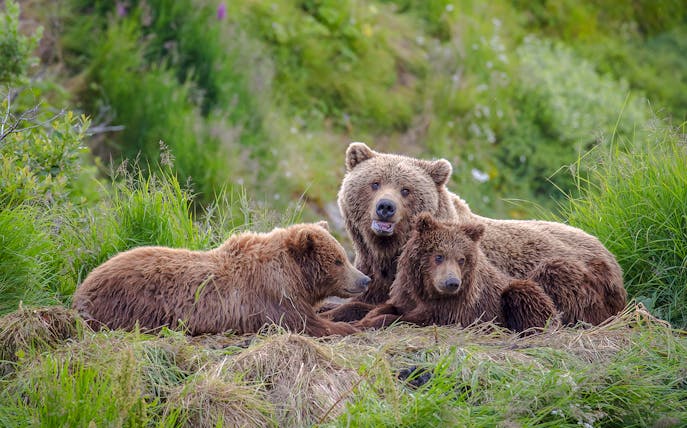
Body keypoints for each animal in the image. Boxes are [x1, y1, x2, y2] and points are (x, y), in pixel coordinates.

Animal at [72, 221, 370, 337]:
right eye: (338, 260)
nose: (364, 279)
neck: (294, 274)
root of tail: (83, 287)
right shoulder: (271, 297)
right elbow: (306, 323)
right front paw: (352, 326)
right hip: (132, 302)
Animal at [356, 213, 557, 332]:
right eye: (438, 256)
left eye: (461, 259)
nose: (452, 283)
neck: (427, 290)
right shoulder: (408, 292)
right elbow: (391, 306)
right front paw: (366, 318)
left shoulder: (456, 308)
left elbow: (415, 319)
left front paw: (369, 323)